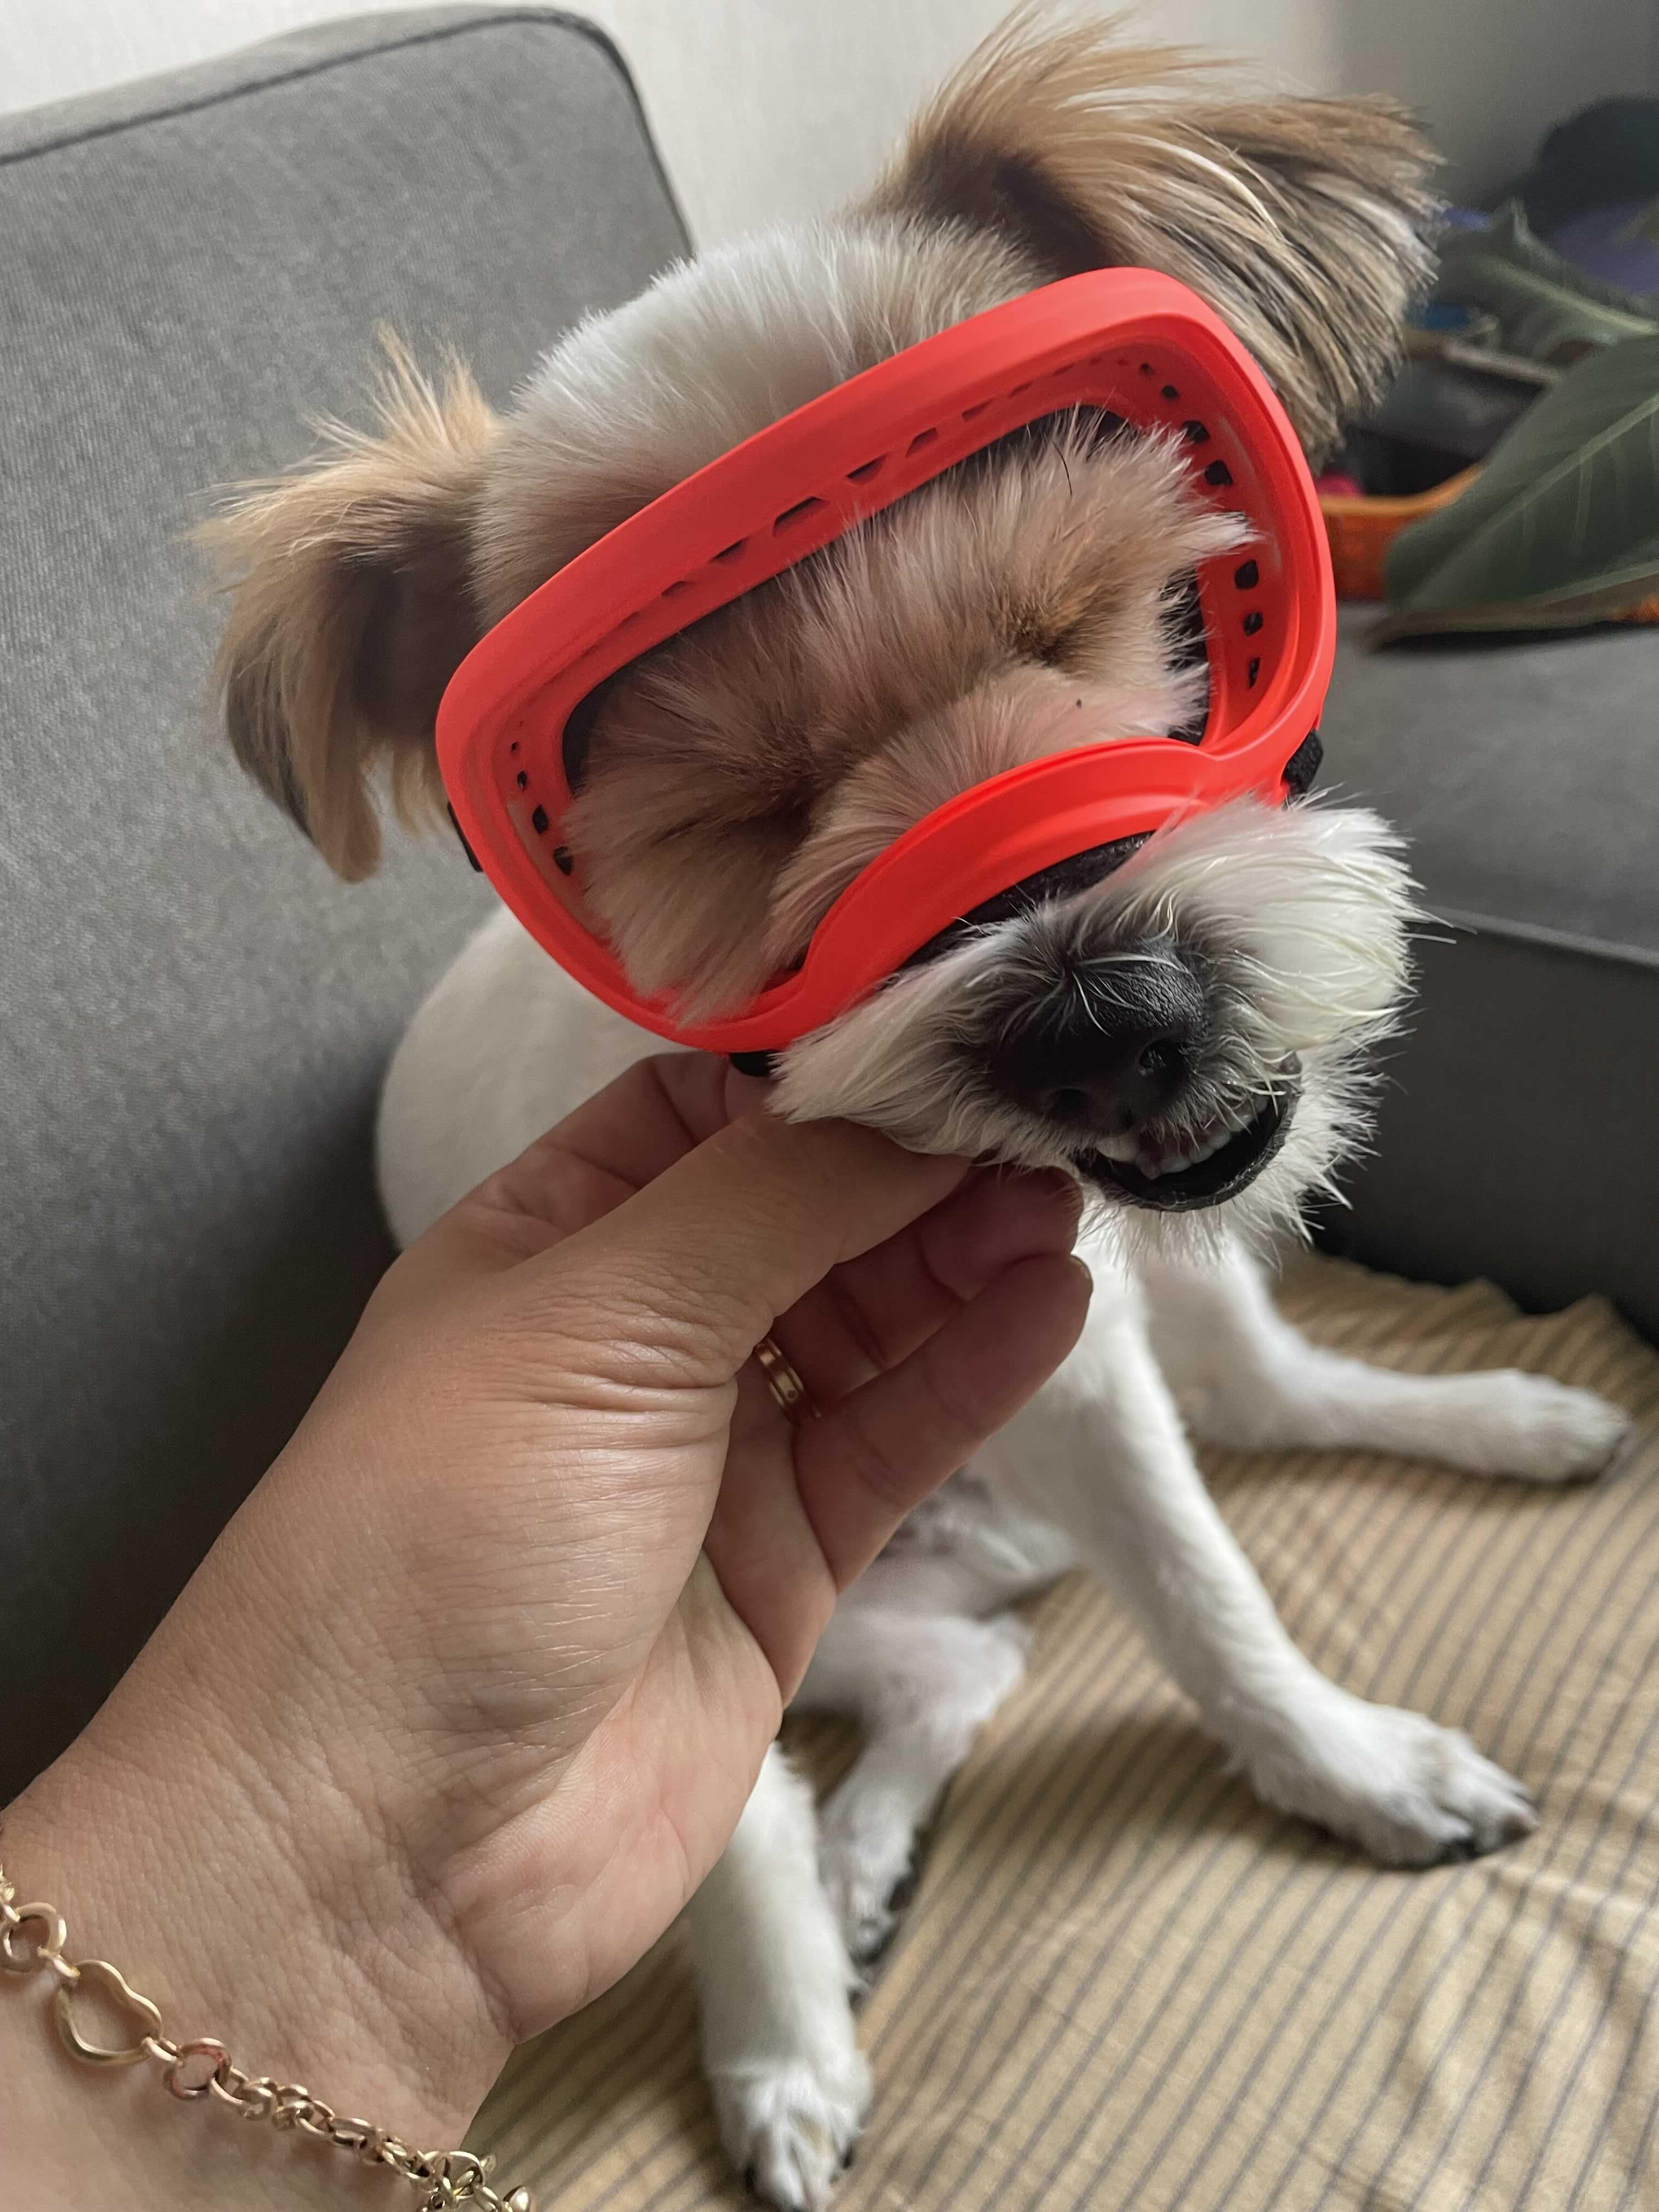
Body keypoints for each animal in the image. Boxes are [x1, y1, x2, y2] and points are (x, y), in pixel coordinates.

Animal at [205, 16, 1631, 2205]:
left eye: (1101, 616)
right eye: (735, 824)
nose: (1098, 1025)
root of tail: (985, 1538)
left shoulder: (1086, 1359)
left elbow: (1211, 1596)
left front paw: (1347, 1765)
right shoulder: (655, 1497)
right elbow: (709, 1810)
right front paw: (777, 2036)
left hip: (1131, 1349)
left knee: (1248, 1413)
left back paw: (1498, 1418)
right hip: (856, 1603)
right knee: (930, 1688)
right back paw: (839, 1914)